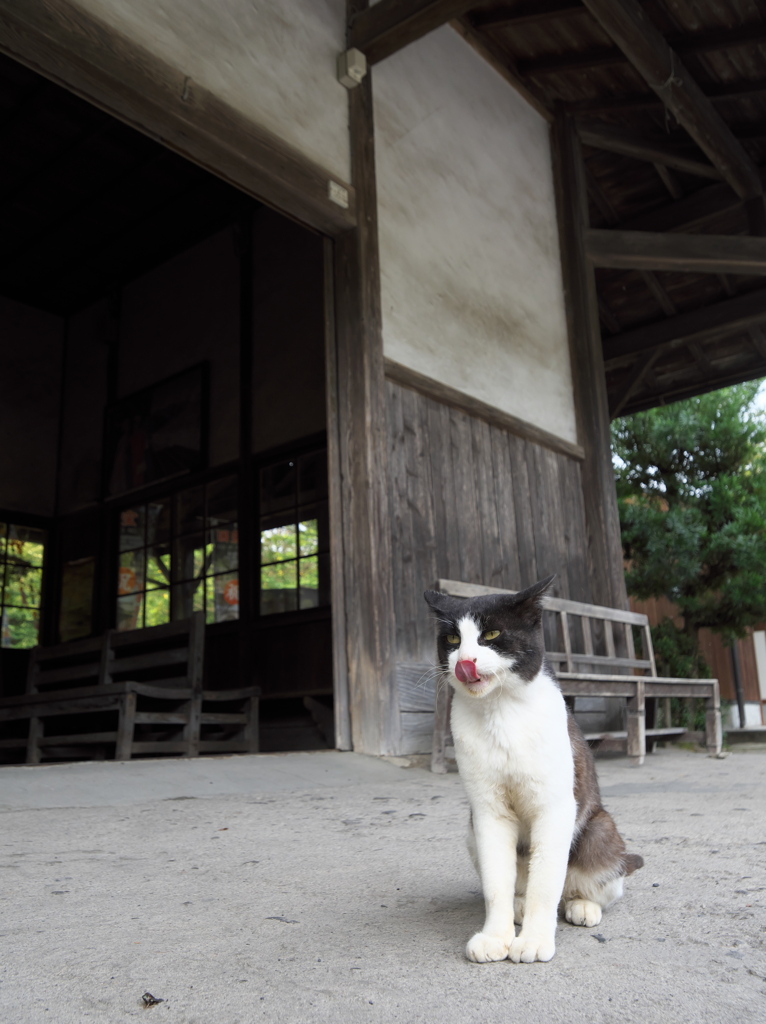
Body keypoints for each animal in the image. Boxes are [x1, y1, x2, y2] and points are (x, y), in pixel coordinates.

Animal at [421, 581, 643, 962]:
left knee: (590, 883)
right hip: (470, 832)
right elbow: (496, 881)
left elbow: (546, 883)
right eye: (452, 639)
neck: (500, 711)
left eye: (492, 634)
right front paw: (495, 936)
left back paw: (582, 905)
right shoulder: (486, 812)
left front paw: (536, 940)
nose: (464, 661)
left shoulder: (555, 808)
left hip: (599, 830)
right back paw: (519, 905)